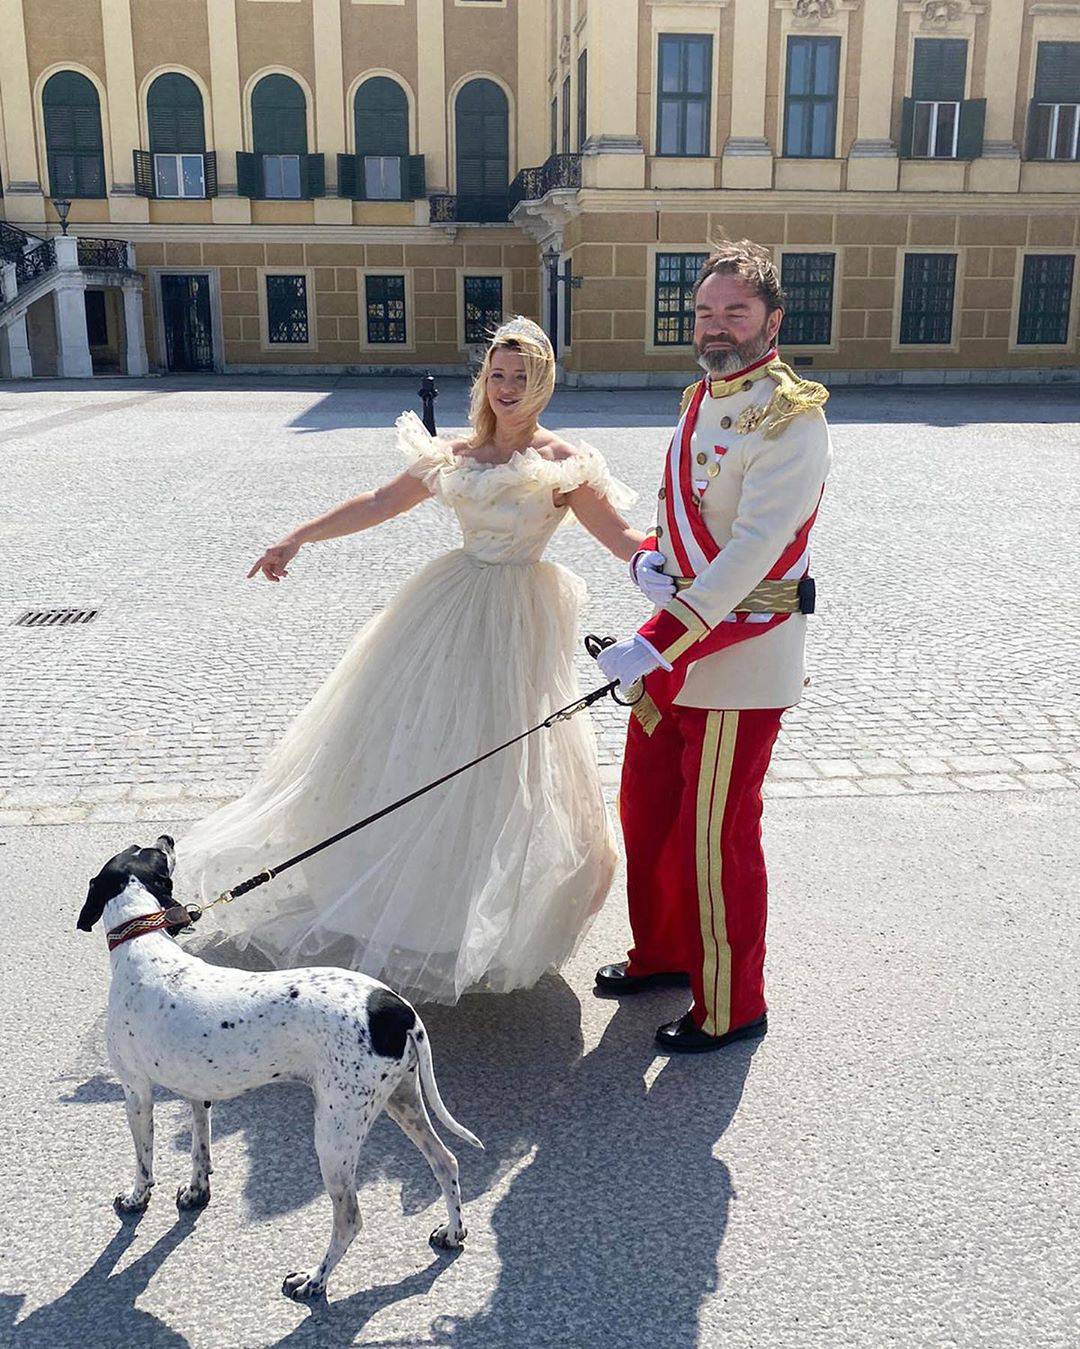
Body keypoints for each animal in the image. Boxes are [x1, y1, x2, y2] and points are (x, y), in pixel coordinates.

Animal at [75, 836, 480, 1300]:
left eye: (149, 850)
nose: (168, 838)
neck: (145, 948)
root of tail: (398, 1008)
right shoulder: (199, 1093)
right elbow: (199, 1149)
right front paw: (197, 1191)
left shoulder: (136, 1093)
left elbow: (144, 1163)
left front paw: (136, 1199)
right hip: (403, 1102)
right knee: (446, 1162)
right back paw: (452, 1232)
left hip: (335, 1134)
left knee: (350, 1218)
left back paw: (314, 1280)